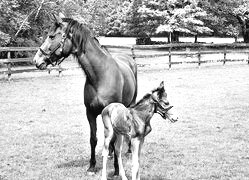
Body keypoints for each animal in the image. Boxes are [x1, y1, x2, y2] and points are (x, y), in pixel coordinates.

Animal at [32, 13, 138, 172]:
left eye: (51, 36)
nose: (36, 60)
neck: (100, 76)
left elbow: (113, 140)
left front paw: (116, 170)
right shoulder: (90, 113)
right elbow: (93, 139)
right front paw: (92, 166)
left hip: (129, 105)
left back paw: (129, 150)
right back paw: (110, 154)